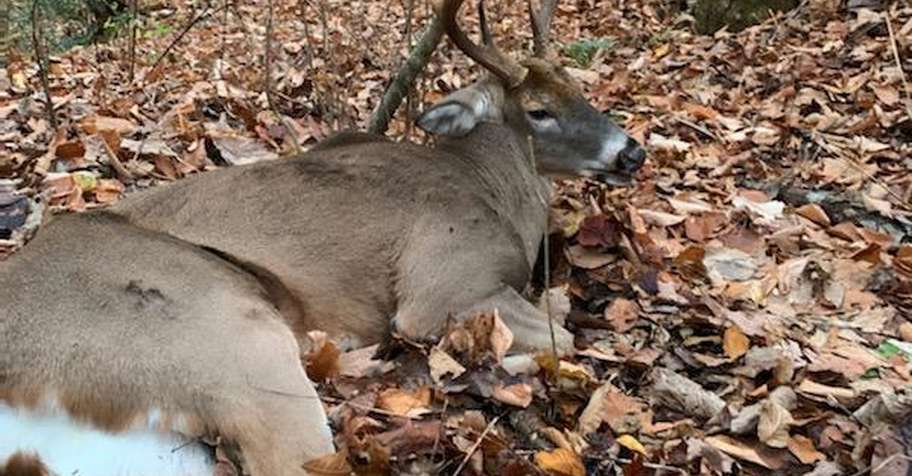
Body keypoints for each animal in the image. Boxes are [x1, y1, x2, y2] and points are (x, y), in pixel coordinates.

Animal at [0, 0, 645, 474]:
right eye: (538, 110)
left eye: (578, 87)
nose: (632, 152)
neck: (492, 192)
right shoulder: (445, 284)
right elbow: (563, 333)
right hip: (226, 336)